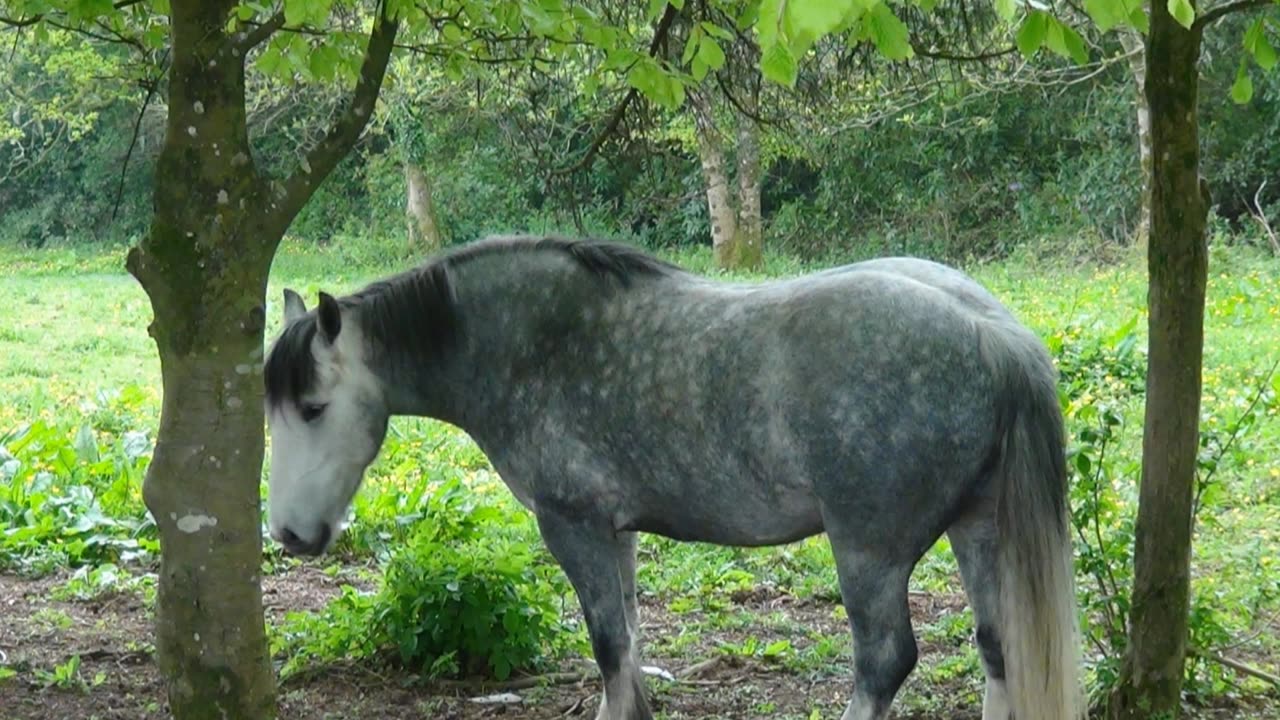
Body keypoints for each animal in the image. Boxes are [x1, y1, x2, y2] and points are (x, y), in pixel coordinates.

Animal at [262, 234, 1082, 720]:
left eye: (313, 407)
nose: (290, 534)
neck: (527, 344)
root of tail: (992, 332)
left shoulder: (573, 527)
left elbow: (608, 646)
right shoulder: (616, 534)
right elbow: (628, 643)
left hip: (869, 553)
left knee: (884, 661)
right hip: (979, 531)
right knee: (999, 646)